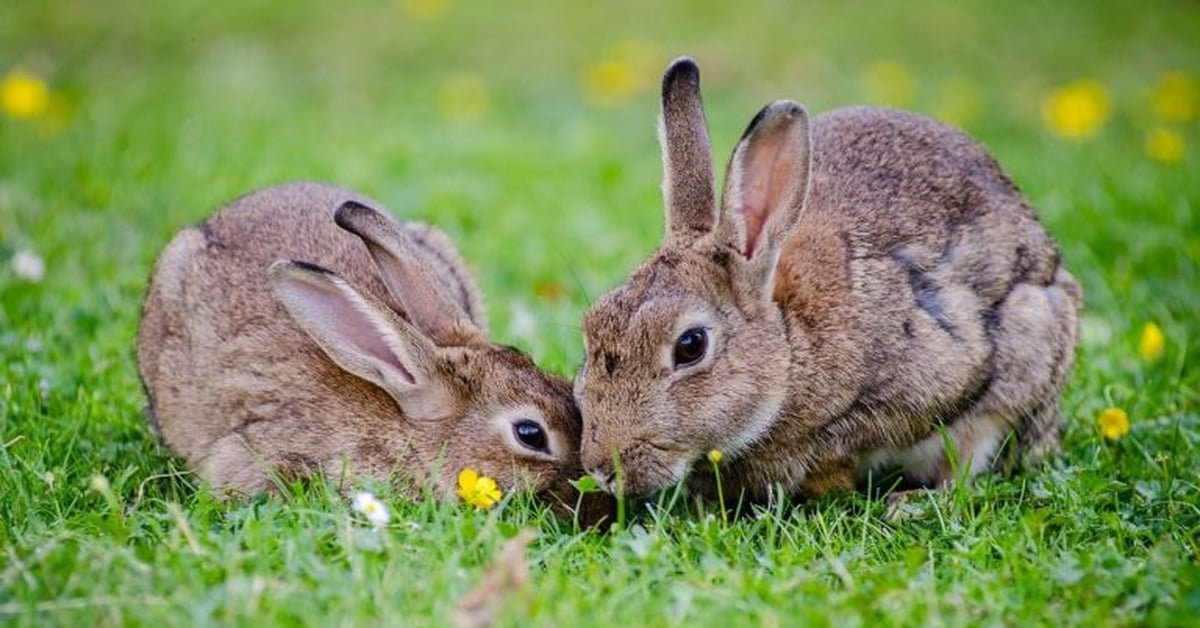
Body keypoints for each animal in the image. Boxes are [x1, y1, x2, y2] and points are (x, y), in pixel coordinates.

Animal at [576, 57, 1084, 501]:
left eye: (690, 346)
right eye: (591, 328)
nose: (602, 469)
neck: (789, 348)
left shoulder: (934, 375)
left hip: (1029, 343)